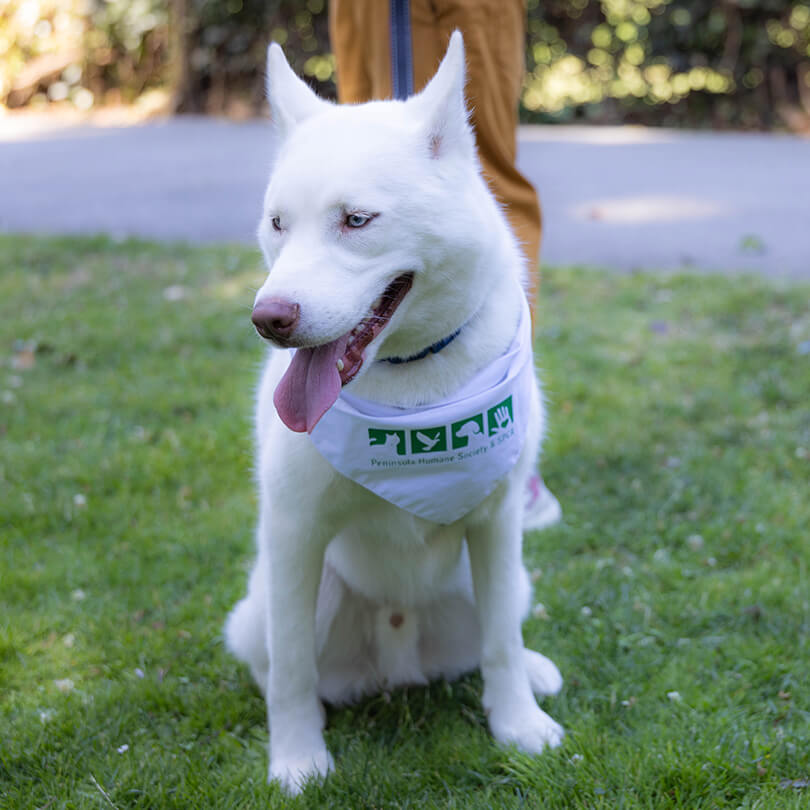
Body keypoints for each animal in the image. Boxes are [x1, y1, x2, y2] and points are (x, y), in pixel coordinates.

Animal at [221, 34, 560, 792]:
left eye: (356, 220)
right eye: (278, 223)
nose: (268, 319)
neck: (411, 384)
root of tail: (401, 664)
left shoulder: (497, 525)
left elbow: (500, 641)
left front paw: (517, 725)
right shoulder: (293, 535)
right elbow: (291, 670)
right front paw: (297, 758)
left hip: (507, 576)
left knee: (498, 633)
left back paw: (533, 672)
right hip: (282, 600)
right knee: (277, 663)